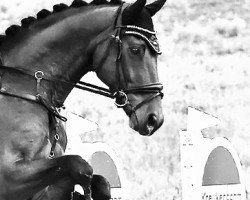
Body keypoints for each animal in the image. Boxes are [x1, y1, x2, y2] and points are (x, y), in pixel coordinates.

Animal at [0, 0, 166, 199]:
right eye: (135, 50)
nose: (154, 119)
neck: (32, 87)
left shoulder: (49, 185)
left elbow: (100, 181)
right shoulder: (10, 178)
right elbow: (81, 166)